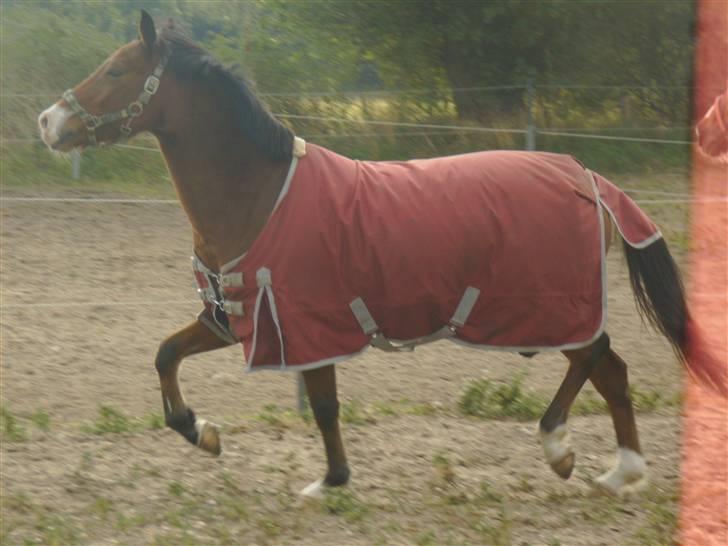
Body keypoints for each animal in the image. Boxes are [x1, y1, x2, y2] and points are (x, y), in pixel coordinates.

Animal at [38, 11, 725, 499]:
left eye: (116, 72)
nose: (48, 122)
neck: (260, 192)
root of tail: (584, 176)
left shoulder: (305, 320)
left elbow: (322, 404)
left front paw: (328, 483)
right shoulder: (235, 317)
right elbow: (166, 355)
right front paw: (202, 434)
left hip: (550, 307)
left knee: (596, 361)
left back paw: (561, 448)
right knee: (611, 370)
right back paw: (621, 472)